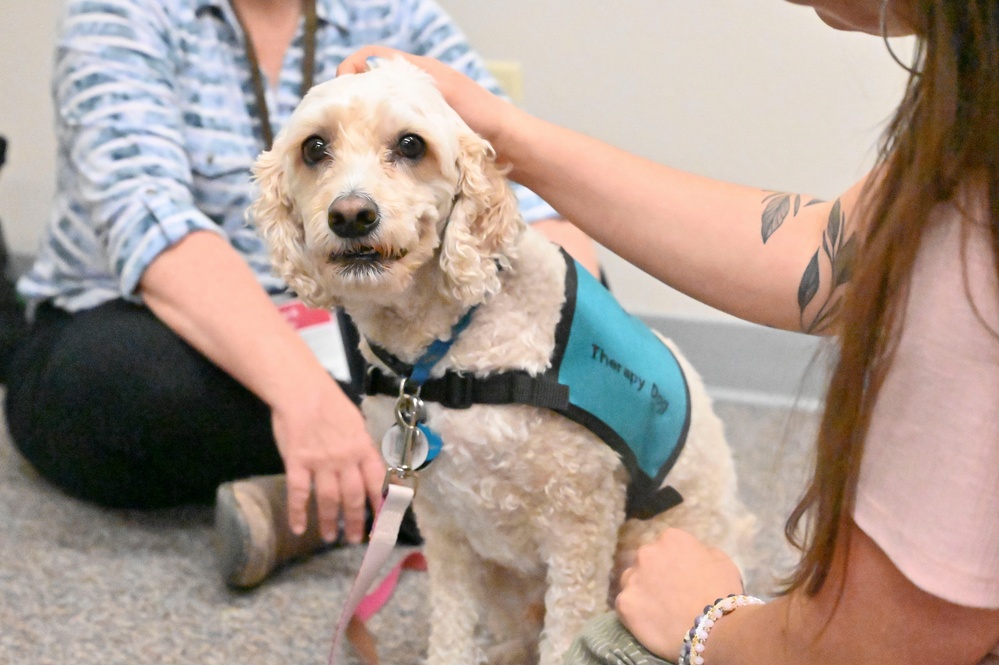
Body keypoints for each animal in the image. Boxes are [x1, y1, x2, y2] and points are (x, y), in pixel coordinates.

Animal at [254, 57, 752, 664]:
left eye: (411, 144)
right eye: (315, 147)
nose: (351, 214)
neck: (449, 353)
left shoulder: (578, 529)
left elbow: (564, 640)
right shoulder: (442, 524)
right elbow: (450, 629)